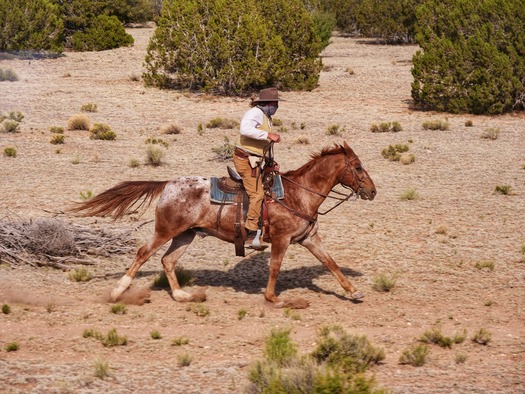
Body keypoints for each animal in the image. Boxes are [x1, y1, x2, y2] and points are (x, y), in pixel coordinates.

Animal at [69, 142, 374, 308]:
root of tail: (167, 184)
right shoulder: (281, 239)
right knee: (144, 253)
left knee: (168, 261)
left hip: (185, 235)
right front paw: (273, 298)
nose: (372, 191)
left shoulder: (310, 238)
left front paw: (353, 291)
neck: (299, 193)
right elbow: (275, 268)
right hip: (166, 231)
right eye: (358, 166)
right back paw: (117, 292)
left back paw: (182, 295)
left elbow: (331, 263)